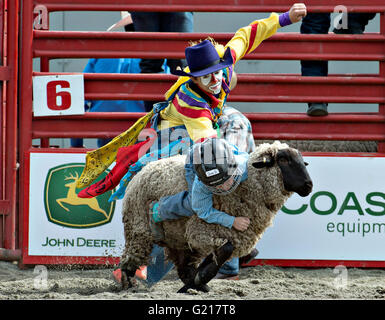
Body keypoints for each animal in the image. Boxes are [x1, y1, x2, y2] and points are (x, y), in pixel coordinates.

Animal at [119, 141, 312, 292]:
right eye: (283, 160)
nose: (308, 185)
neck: (247, 189)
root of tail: (142, 171)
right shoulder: (201, 231)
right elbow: (225, 249)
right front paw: (202, 277)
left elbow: (229, 254)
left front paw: (200, 279)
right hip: (139, 232)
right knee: (129, 262)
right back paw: (129, 285)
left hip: (179, 241)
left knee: (184, 268)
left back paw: (194, 286)